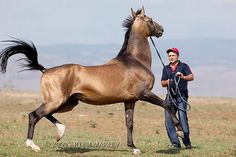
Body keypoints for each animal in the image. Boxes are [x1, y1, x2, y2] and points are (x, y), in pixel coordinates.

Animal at [0, 7, 183, 155]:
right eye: (150, 20)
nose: (161, 30)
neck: (135, 61)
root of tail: (45, 70)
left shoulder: (130, 100)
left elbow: (129, 123)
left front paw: (134, 148)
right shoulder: (144, 93)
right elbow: (167, 105)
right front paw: (180, 129)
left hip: (68, 103)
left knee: (45, 114)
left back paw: (60, 132)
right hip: (56, 101)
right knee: (34, 115)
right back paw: (33, 145)